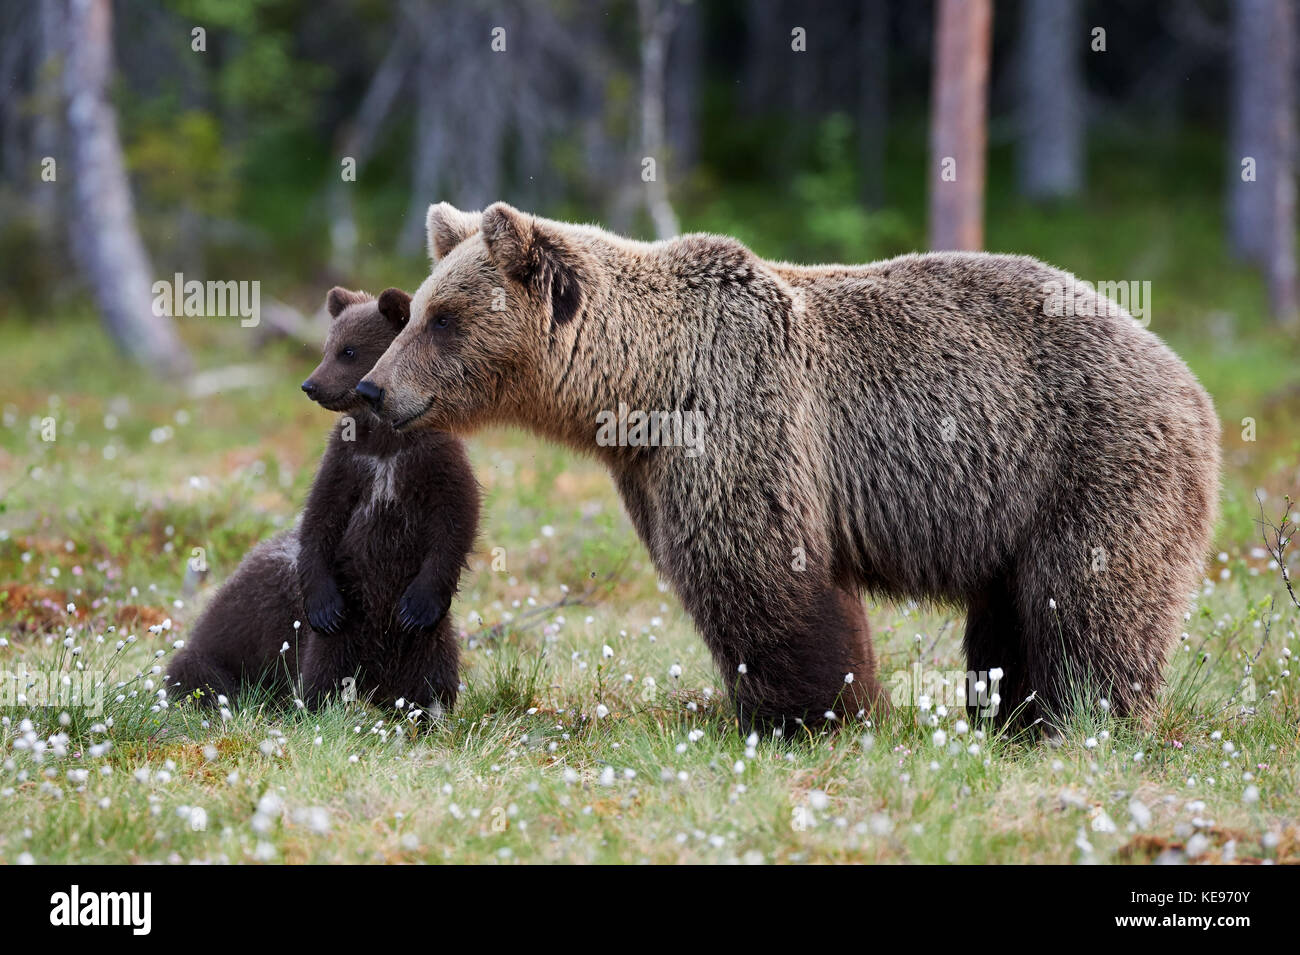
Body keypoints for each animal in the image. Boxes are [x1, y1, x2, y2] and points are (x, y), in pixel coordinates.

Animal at [166, 286, 480, 715]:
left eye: (349, 351)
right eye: (327, 347)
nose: (310, 385)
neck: (385, 442)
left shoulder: (431, 460)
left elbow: (457, 517)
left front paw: (418, 605)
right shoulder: (346, 464)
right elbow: (321, 517)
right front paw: (323, 607)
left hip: (425, 638)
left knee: (434, 667)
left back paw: (428, 710)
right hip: (334, 618)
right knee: (319, 664)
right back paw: (318, 706)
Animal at [355, 201, 1220, 736]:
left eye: (443, 318)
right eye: (417, 308)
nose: (372, 388)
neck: (643, 385)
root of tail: (1188, 378)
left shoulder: (743, 419)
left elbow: (761, 572)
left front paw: (807, 712)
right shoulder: (651, 469)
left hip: (1091, 465)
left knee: (1089, 600)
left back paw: (1082, 718)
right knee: (1011, 612)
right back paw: (1012, 716)